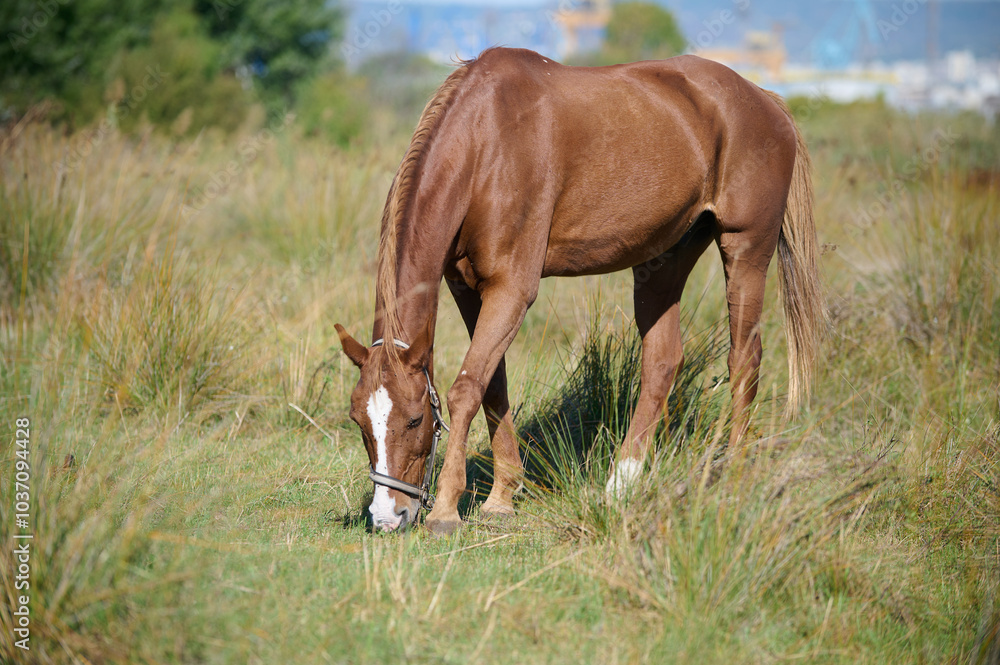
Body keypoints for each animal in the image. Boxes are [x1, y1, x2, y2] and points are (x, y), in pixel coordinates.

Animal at [335, 47, 823, 535]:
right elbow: (493, 385)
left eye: (415, 419)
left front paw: (446, 510)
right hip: (664, 260)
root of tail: (765, 100)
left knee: (744, 359)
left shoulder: (512, 289)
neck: (486, 142)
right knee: (662, 362)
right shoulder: (467, 289)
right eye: (358, 420)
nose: (387, 516)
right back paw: (621, 482)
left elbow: (466, 389)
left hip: (746, 251)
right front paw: (502, 496)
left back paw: (734, 471)